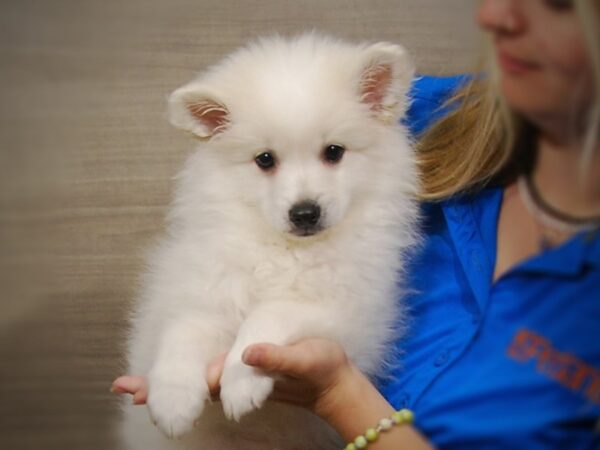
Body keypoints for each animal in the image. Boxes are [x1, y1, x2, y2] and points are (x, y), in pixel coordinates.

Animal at [122, 33, 418, 448]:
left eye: (334, 152)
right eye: (265, 159)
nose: (305, 212)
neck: (286, 250)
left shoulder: (347, 312)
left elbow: (270, 315)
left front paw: (241, 381)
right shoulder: (207, 287)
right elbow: (185, 330)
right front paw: (172, 398)